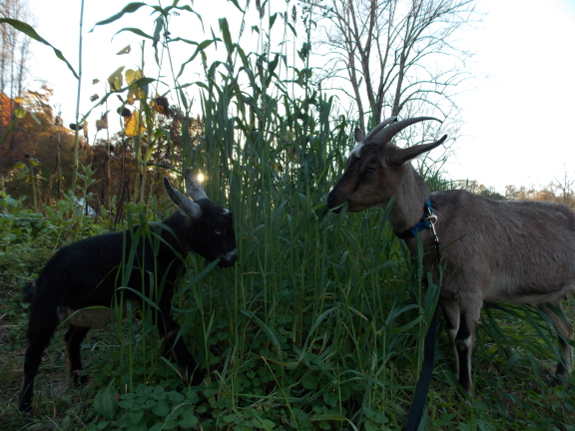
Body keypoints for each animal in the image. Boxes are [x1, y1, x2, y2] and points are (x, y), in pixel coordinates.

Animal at [18, 169, 237, 412]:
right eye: (218, 229)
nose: (233, 257)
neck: (159, 243)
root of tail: (42, 275)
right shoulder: (150, 299)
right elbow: (172, 331)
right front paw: (194, 377)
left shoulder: (163, 296)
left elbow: (166, 332)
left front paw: (170, 364)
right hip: (45, 309)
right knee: (33, 354)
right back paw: (25, 405)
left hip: (85, 312)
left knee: (71, 339)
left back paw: (78, 380)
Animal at [328, 116, 575, 396]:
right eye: (349, 160)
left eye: (371, 167)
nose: (331, 200)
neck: (435, 224)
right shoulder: (444, 290)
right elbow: (451, 331)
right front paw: (458, 376)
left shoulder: (471, 290)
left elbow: (464, 339)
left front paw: (467, 390)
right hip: (549, 297)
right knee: (564, 329)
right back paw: (559, 378)